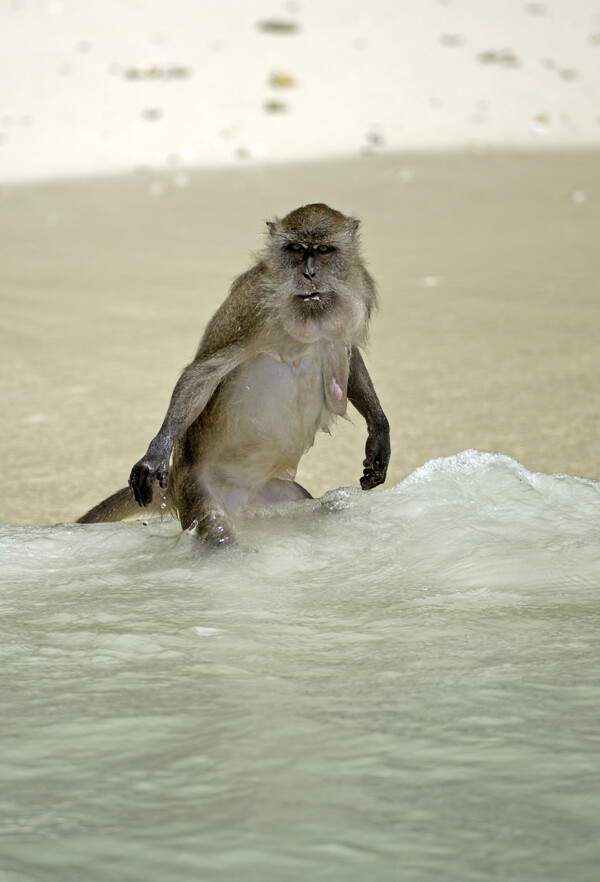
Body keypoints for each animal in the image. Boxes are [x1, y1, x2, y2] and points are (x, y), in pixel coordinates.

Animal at [78, 204, 390, 544]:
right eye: (295, 249)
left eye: (322, 250)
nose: (308, 274)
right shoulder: (250, 306)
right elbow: (203, 373)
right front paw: (155, 451)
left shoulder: (357, 284)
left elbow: (349, 353)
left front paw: (379, 431)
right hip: (199, 492)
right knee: (217, 529)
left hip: (273, 497)